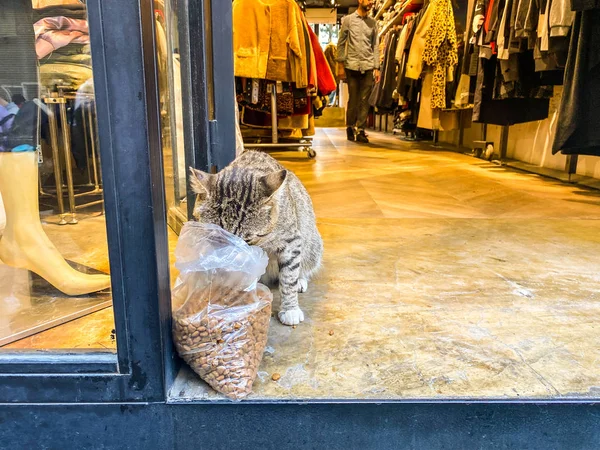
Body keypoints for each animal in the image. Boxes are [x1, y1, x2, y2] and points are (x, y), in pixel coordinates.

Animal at [192, 152, 324, 326]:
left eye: (248, 240)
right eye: (220, 237)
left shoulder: (292, 240)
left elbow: (289, 276)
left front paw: (290, 309)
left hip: (312, 244)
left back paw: (300, 280)